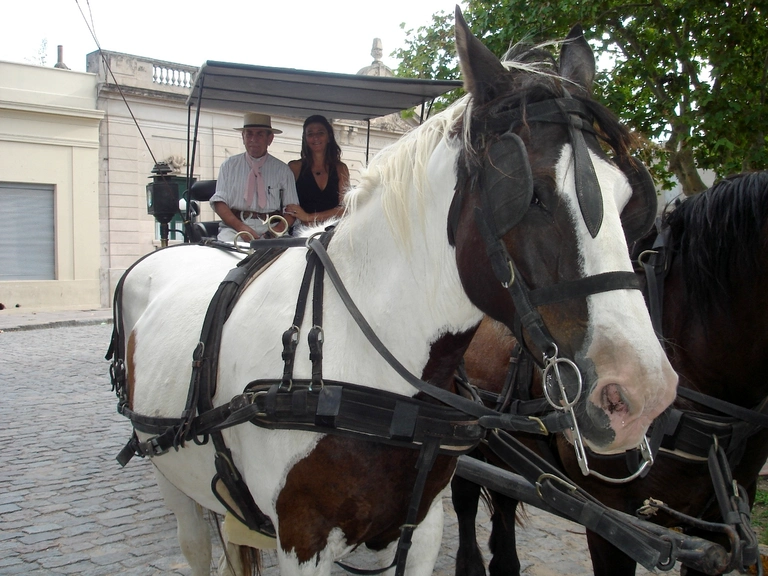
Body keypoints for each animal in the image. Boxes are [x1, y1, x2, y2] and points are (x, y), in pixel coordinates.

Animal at [112, 7, 672, 576]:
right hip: (169, 470)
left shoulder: (420, 525)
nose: (643, 393)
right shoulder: (302, 540)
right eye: (531, 193)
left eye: (628, 200)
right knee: (196, 544)